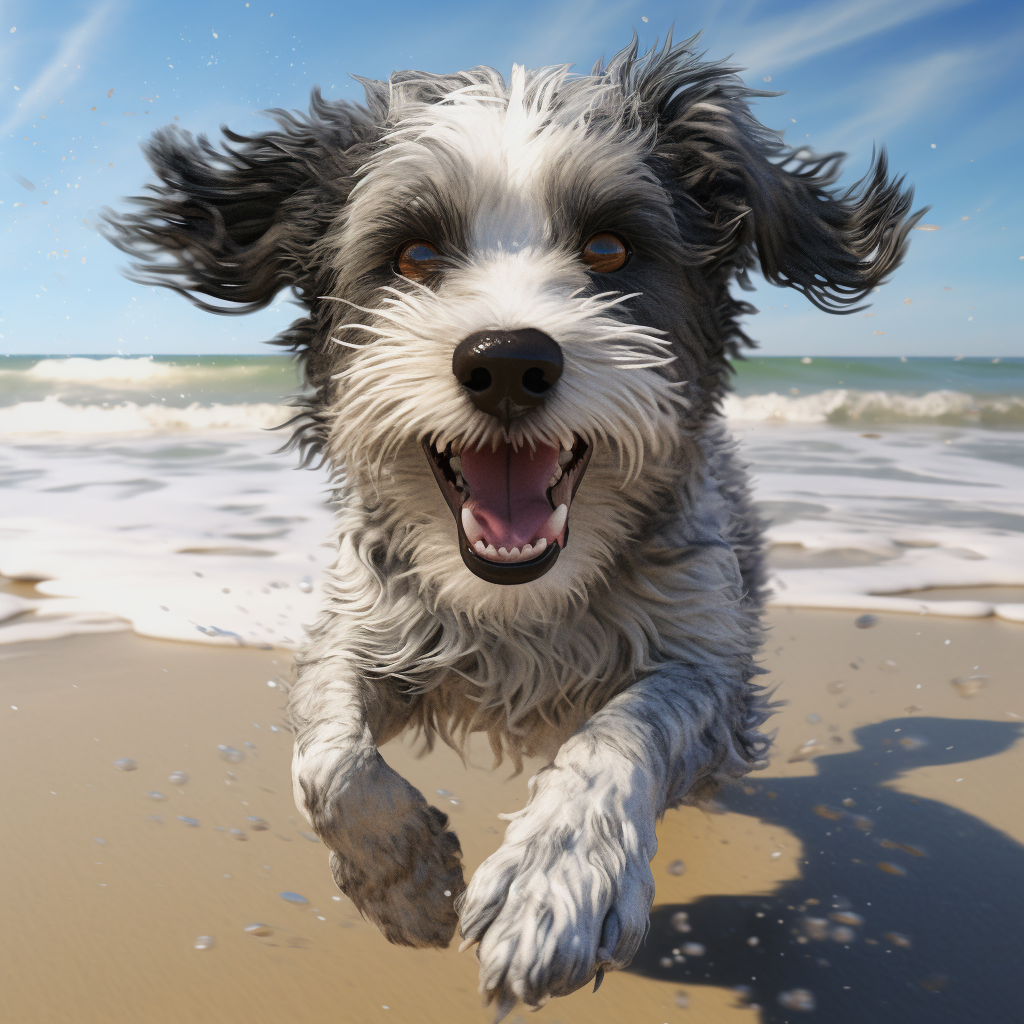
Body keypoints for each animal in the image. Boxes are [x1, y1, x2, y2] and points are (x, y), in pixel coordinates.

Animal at [105, 36, 921, 1019]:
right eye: (414, 255)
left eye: (608, 247)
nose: (506, 361)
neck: (521, 608)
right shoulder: (372, 624)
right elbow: (328, 754)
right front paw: (406, 880)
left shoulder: (701, 660)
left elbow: (626, 726)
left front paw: (555, 879)